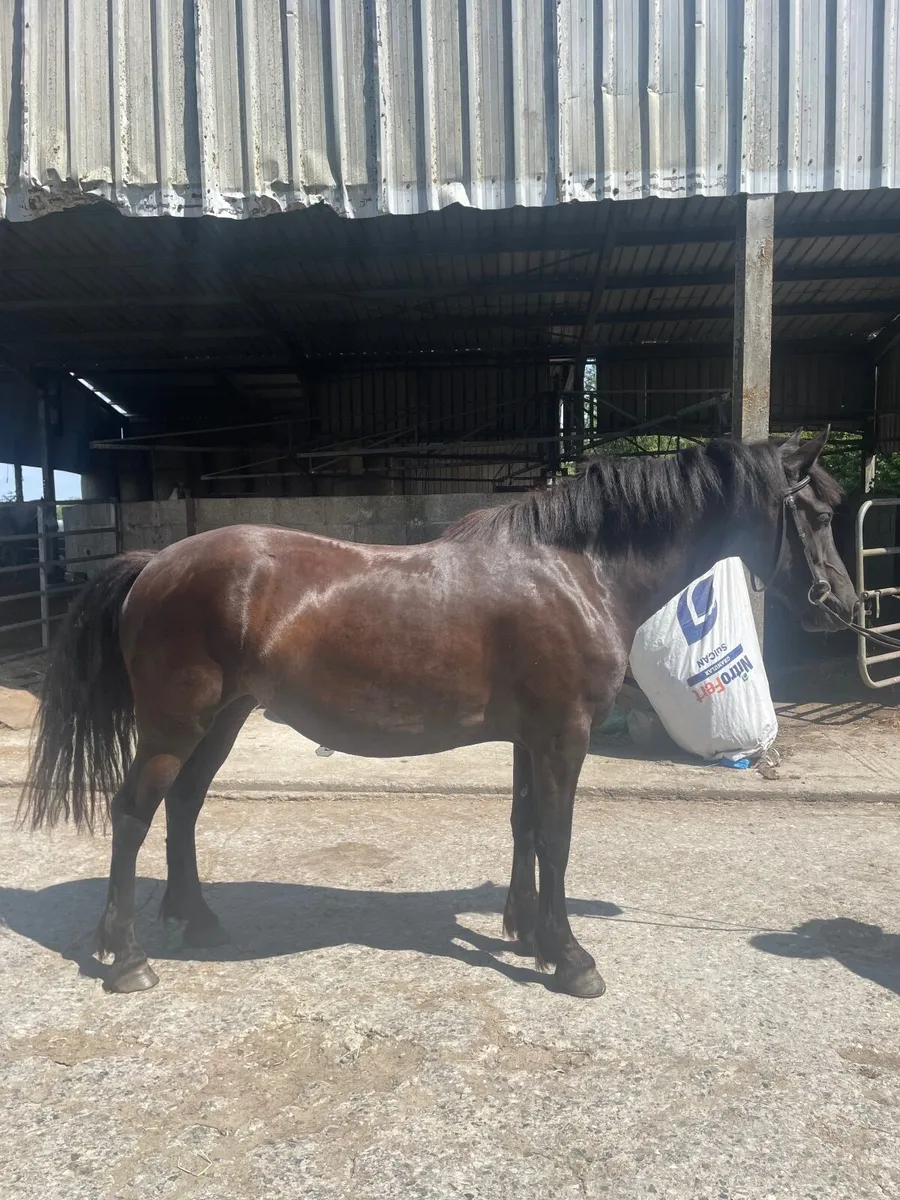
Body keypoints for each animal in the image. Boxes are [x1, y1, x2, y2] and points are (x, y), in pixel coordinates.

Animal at [20, 429, 857, 999]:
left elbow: (524, 825)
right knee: (133, 813)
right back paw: (126, 956)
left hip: (221, 720)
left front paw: (525, 932)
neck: (575, 569)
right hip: (176, 725)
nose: (844, 608)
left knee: (184, 808)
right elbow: (556, 836)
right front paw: (570, 957)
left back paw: (195, 921)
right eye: (818, 511)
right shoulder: (565, 734)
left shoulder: (532, 736)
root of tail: (153, 565)